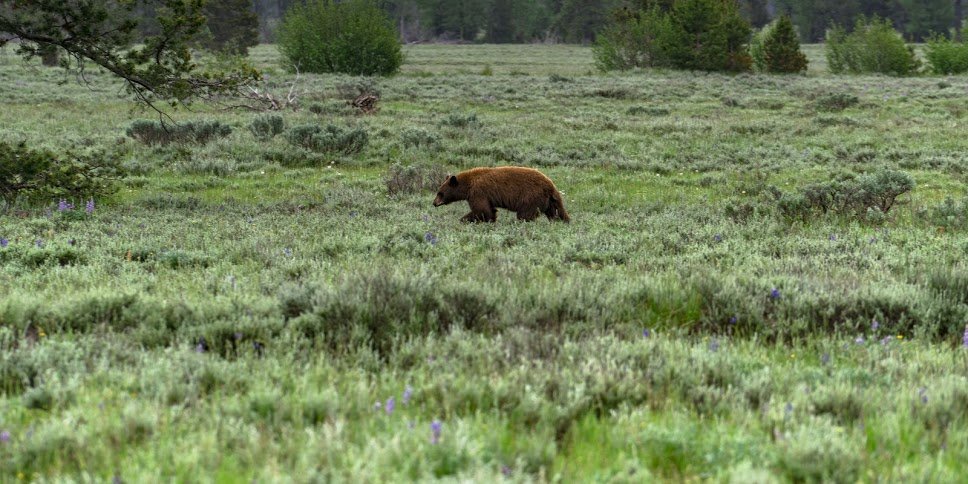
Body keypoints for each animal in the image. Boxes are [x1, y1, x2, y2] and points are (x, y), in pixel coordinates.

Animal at [432, 166, 568, 223]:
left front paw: (464, 219)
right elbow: (489, 210)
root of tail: (550, 185)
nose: (434, 203)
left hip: (531, 197)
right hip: (550, 201)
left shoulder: (478, 192)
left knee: (525, 215)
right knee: (557, 213)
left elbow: (482, 210)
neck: (468, 185)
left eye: (440, 193)